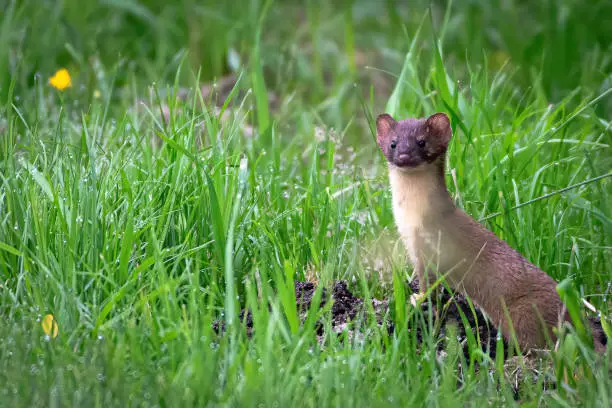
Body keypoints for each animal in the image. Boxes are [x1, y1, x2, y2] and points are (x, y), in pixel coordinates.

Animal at [376, 112, 604, 354]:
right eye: (393, 143)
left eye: (422, 142)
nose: (403, 155)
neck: (409, 218)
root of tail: (575, 318)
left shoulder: (429, 246)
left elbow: (429, 282)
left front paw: (417, 298)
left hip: (523, 315)